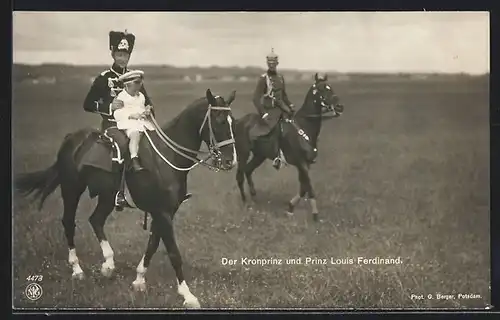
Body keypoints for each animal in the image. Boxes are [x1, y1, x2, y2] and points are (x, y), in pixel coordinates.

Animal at [13, 88, 236, 308]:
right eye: (219, 121)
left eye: (232, 120)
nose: (230, 161)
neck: (166, 157)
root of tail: (72, 138)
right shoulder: (162, 213)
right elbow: (173, 253)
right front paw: (188, 296)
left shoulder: (164, 212)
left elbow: (152, 244)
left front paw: (139, 281)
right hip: (71, 189)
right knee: (69, 222)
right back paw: (77, 269)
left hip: (107, 196)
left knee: (95, 220)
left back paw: (108, 265)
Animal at [233, 73, 344, 221]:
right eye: (321, 89)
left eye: (330, 87)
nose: (339, 107)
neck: (304, 126)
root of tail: (239, 121)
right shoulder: (301, 163)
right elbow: (309, 187)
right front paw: (315, 215)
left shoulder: (305, 164)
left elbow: (303, 188)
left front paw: (290, 208)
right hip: (243, 153)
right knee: (240, 175)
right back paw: (246, 202)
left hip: (259, 155)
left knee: (248, 170)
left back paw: (254, 197)